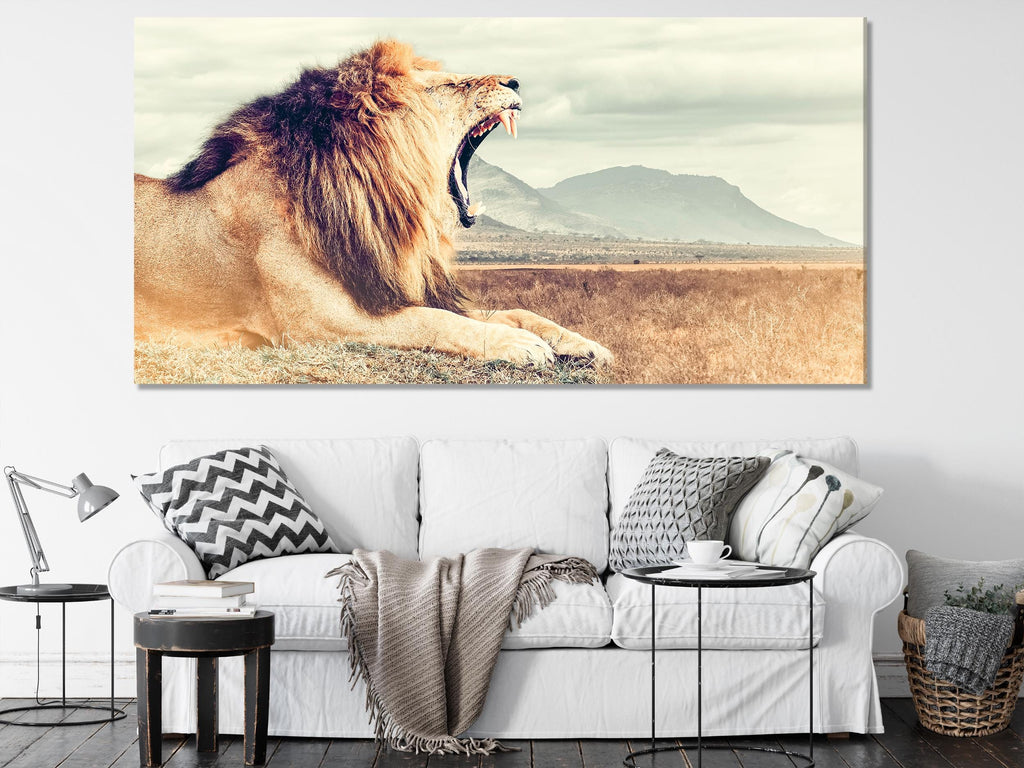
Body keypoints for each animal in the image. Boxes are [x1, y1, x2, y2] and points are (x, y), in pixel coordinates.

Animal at [134, 39, 612, 369]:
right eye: (448, 85)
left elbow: (515, 311)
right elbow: (435, 321)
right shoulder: (319, 322)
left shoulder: (387, 288)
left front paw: (584, 343)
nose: (514, 82)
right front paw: (518, 345)